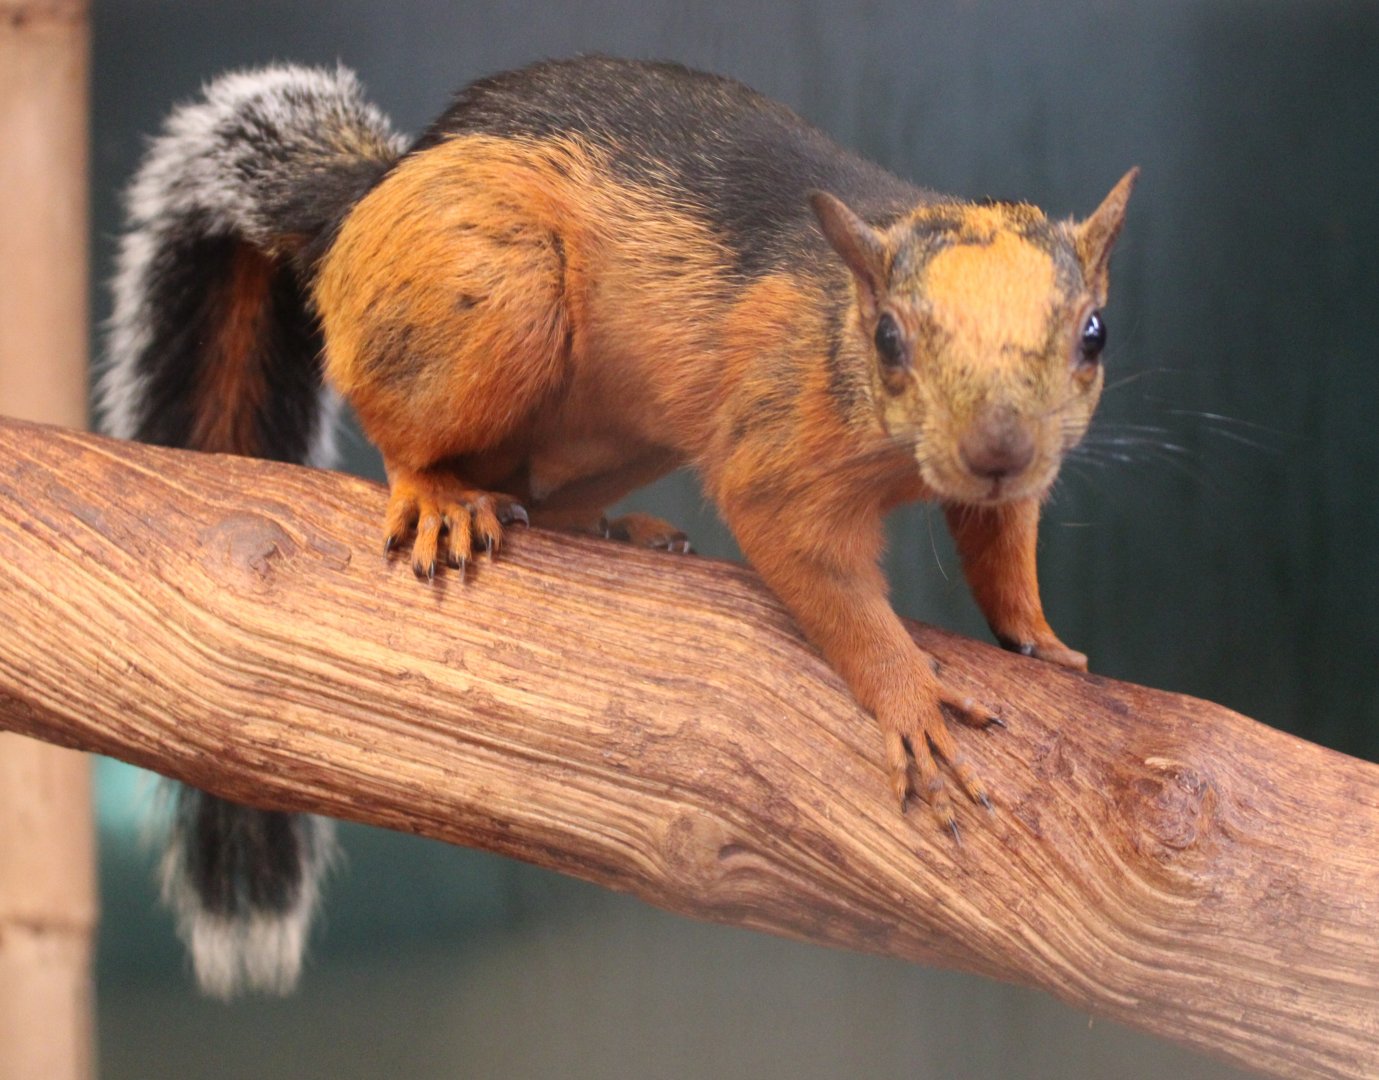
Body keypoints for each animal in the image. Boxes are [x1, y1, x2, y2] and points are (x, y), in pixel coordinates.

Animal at [101, 57, 1135, 998]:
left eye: (1094, 333)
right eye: (887, 337)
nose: (999, 445)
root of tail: (359, 205)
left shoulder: (1001, 486)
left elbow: (1000, 542)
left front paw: (1041, 641)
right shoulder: (773, 459)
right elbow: (824, 580)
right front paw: (909, 698)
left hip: (627, 428)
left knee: (535, 487)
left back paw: (610, 529)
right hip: (496, 297)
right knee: (408, 431)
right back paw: (436, 495)